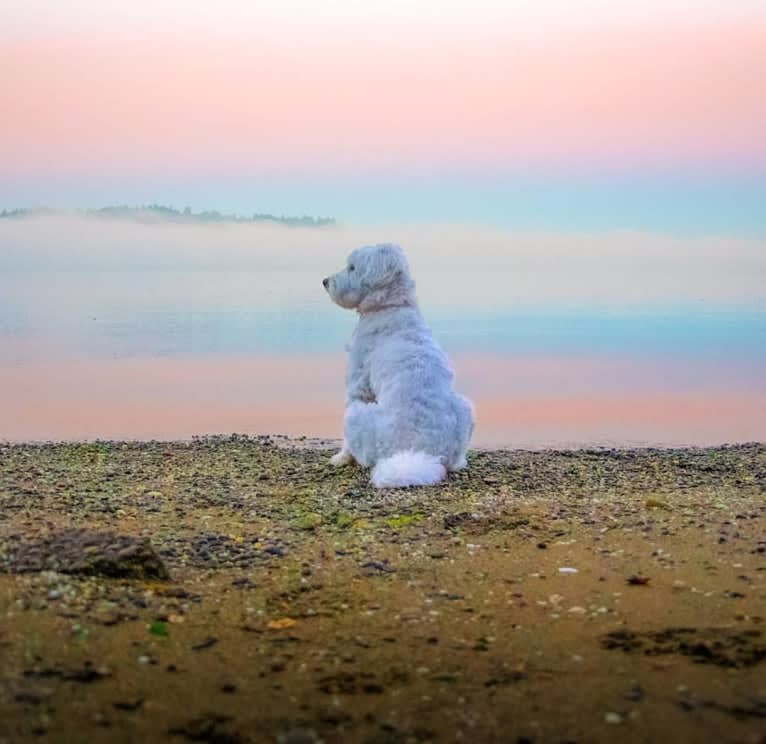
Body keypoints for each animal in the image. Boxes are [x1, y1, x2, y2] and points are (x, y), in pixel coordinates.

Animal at [322, 244, 474, 488]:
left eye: (352, 267)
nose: (325, 281)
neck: (391, 306)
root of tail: (418, 455)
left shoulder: (357, 387)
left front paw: (341, 457)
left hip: (357, 416)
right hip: (466, 408)